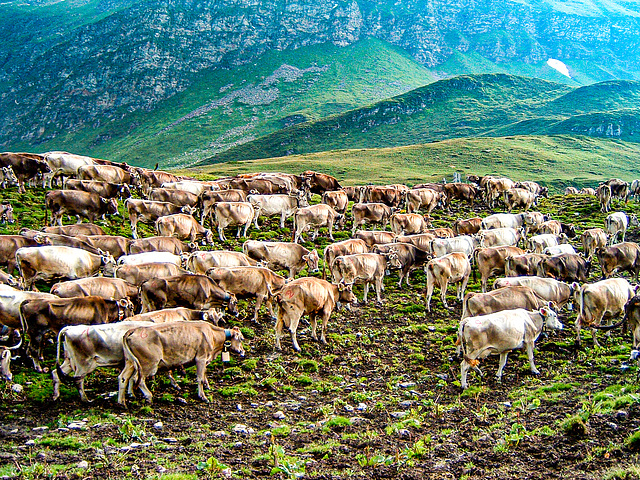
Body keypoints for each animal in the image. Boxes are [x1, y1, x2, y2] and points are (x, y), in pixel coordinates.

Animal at [117, 322, 245, 404]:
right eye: (241, 339)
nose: (243, 351)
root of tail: (134, 330)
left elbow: (204, 374)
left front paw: (207, 386)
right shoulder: (201, 358)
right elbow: (200, 378)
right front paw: (203, 396)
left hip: (131, 362)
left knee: (124, 377)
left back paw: (124, 400)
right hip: (148, 364)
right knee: (137, 378)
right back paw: (148, 396)